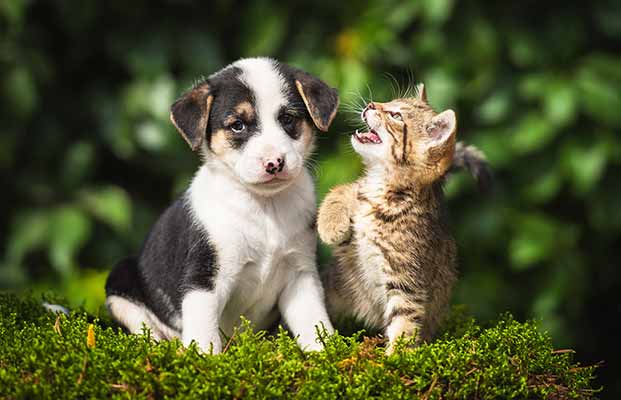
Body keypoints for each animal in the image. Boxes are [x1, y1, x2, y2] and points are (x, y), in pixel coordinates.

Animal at [106, 57, 340, 354]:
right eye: (238, 125)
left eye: (287, 119)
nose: (274, 163)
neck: (264, 207)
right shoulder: (204, 279)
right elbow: (203, 332)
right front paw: (204, 359)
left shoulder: (300, 275)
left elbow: (313, 321)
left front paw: (327, 352)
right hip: (120, 279)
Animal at [320, 84, 484, 354]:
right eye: (388, 102)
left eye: (396, 116)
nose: (371, 105)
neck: (383, 188)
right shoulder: (358, 202)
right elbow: (342, 190)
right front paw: (331, 225)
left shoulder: (406, 279)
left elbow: (404, 321)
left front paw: (394, 357)